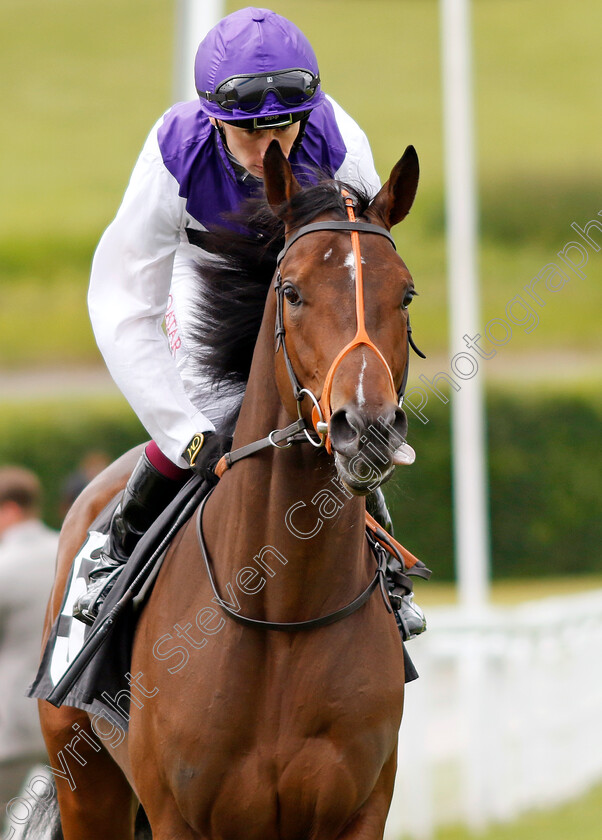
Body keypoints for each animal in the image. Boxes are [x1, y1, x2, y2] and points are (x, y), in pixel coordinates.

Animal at [36, 141, 418, 836]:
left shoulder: (359, 810)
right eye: (291, 292)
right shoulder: (181, 817)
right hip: (84, 779)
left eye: (404, 294)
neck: (283, 613)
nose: (367, 427)